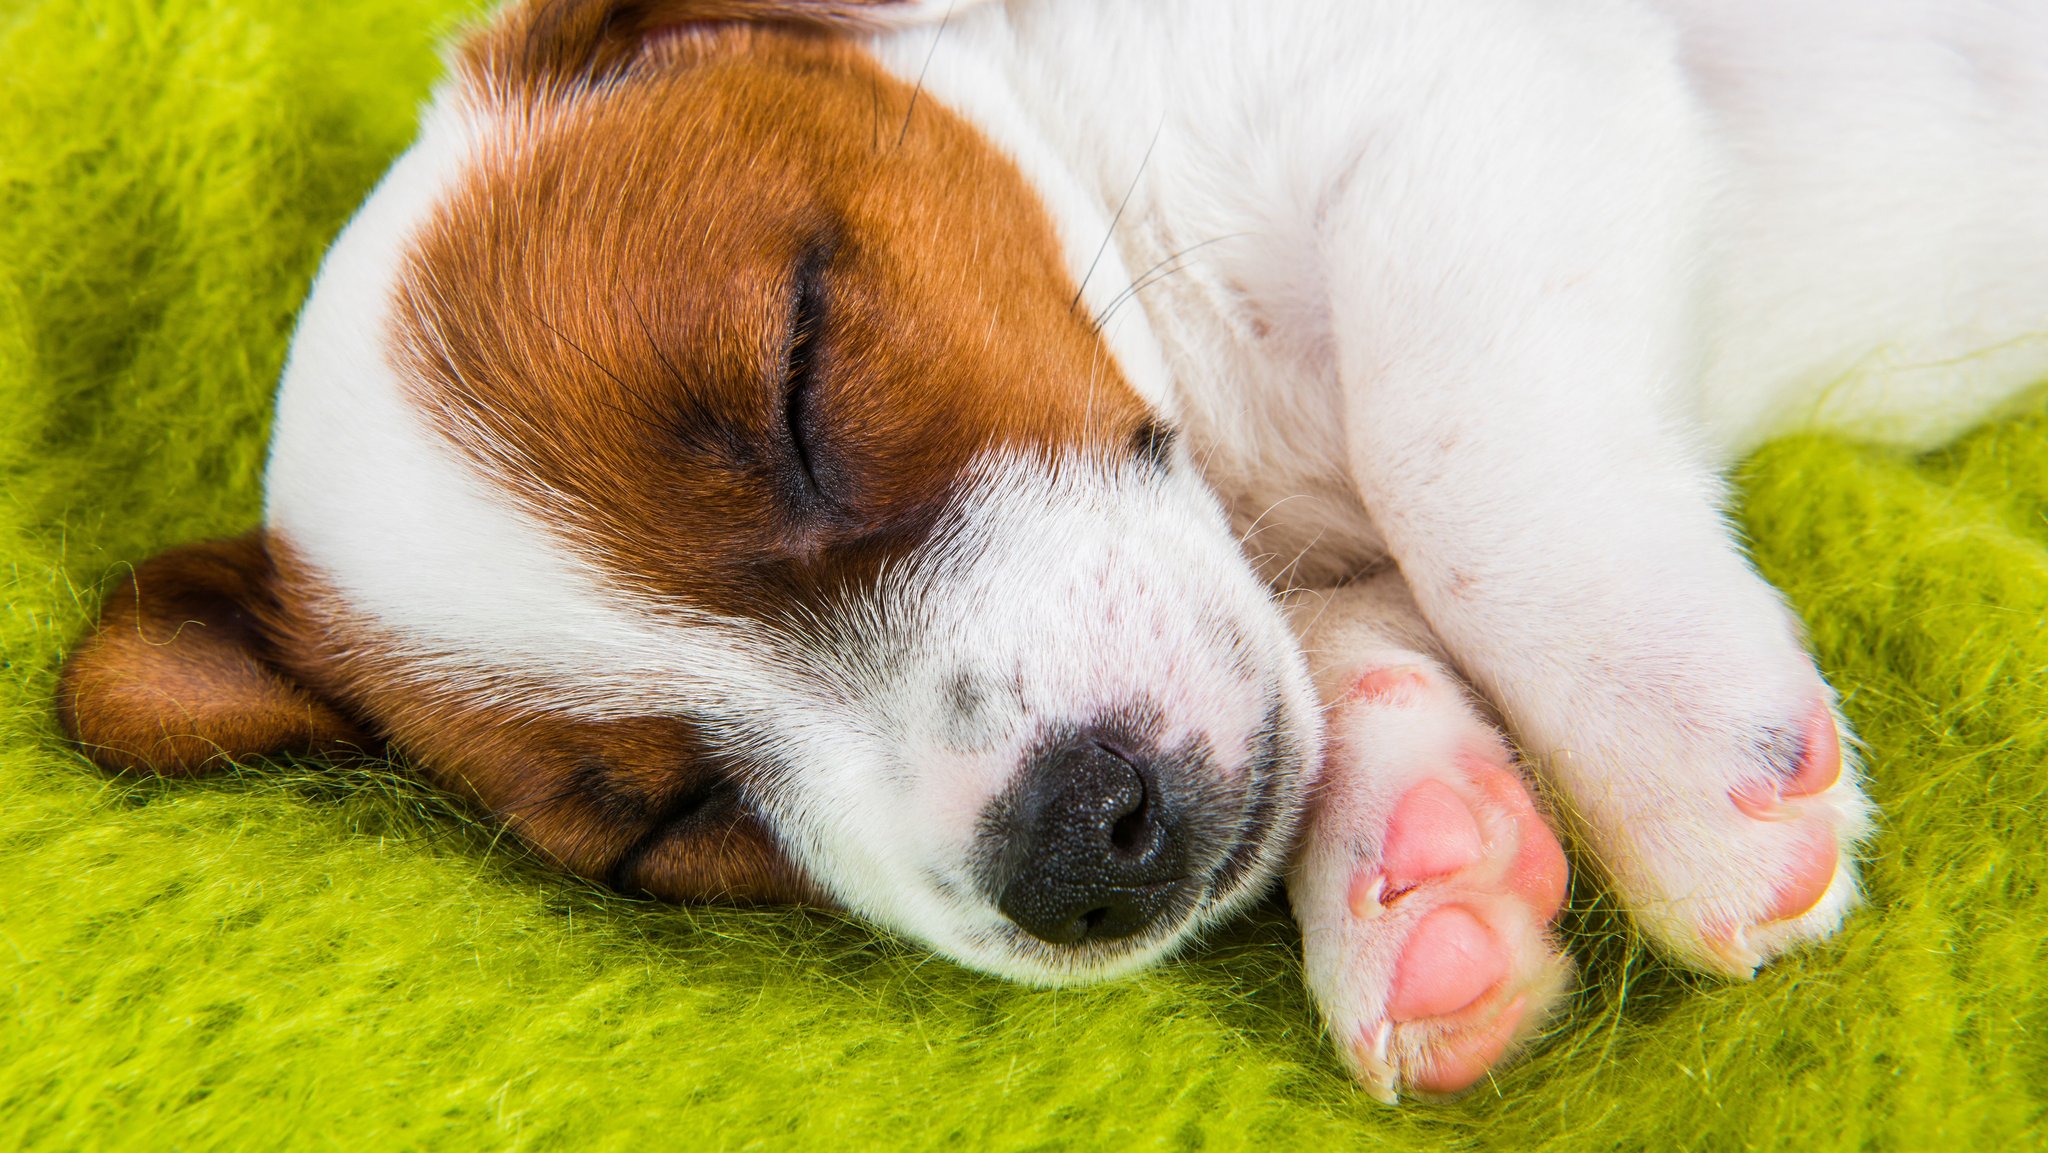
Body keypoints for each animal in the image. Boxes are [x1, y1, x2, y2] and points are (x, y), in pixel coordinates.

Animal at [51, 0, 2048, 1097]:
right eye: (671, 823)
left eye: (800, 372)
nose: (1074, 844)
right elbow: (1346, 643)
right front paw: (1423, 865)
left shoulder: (1462, 91)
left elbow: (1447, 450)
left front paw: (1675, 757)